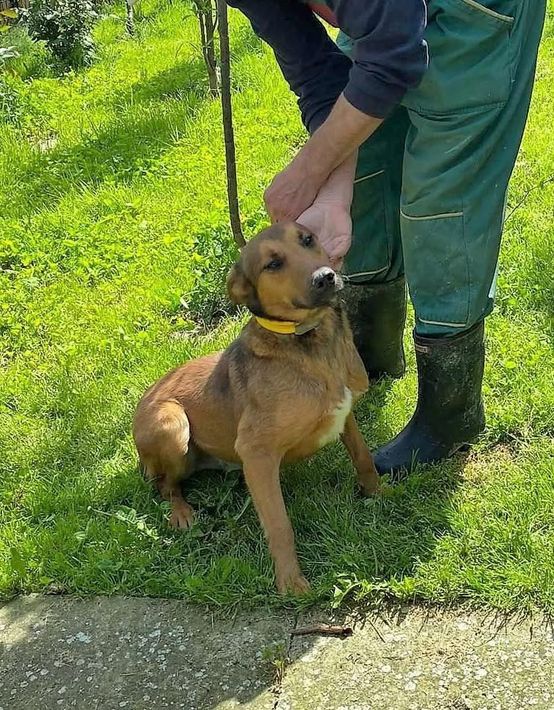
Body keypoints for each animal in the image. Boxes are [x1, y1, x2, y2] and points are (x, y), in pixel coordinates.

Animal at [133, 223, 380, 594]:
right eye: (272, 264)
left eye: (307, 239)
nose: (325, 277)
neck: (307, 340)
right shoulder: (256, 453)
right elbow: (279, 524)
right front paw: (291, 583)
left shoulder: (346, 415)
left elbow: (363, 457)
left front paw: (381, 492)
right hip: (172, 426)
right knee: (165, 485)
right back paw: (181, 513)